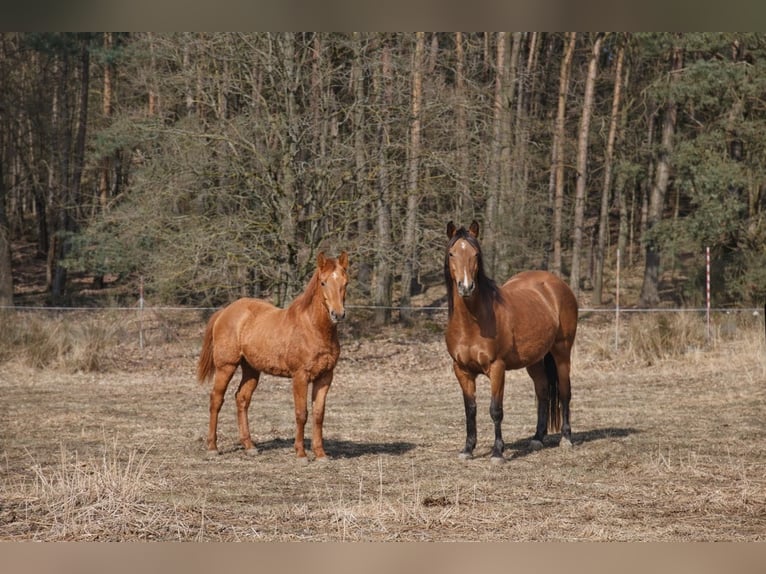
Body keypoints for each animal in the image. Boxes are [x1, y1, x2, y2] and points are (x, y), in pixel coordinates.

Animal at [197, 251, 349, 463]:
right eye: (323, 282)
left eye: (346, 282)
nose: (338, 314)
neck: (313, 328)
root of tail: (224, 312)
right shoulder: (300, 377)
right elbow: (301, 413)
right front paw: (301, 454)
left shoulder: (325, 377)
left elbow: (319, 414)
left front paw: (320, 454)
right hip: (226, 366)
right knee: (216, 400)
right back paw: (212, 447)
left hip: (251, 369)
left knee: (241, 399)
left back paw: (249, 446)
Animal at [444, 221, 578, 464]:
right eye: (452, 253)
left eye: (476, 254)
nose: (466, 287)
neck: (472, 322)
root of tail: (557, 284)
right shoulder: (462, 370)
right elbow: (470, 410)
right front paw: (467, 449)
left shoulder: (497, 368)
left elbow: (495, 410)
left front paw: (498, 452)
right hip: (535, 360)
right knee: (543, 391)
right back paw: (537, 438)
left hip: (562, 352)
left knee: (565, 392)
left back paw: (566, 438)